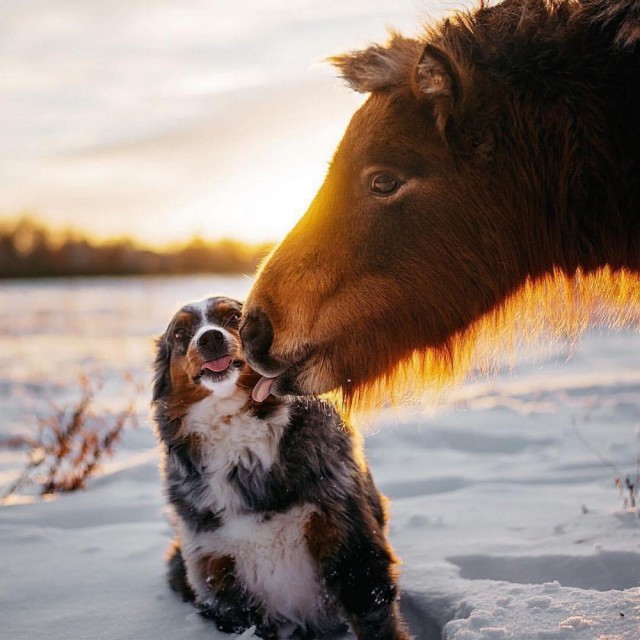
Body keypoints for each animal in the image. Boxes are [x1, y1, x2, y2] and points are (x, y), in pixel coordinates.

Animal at [152, 296, 408, 640]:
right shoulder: (219, 576)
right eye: (181, 334)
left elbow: (375, 622)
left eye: (234, 318)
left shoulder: (353, 550)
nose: (209, 338)